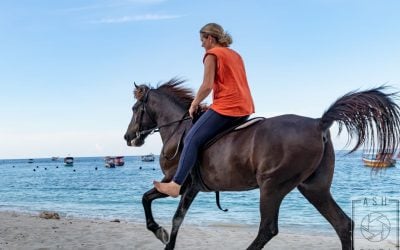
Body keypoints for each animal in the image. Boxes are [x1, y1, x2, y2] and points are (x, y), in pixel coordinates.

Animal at [123, 78, 398, 250]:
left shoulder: (179, 184)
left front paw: (160, 233)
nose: (128, 137)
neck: (178, 130)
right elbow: (162, 210)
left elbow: (163, 210)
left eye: (135, 108)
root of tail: (318, 122)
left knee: (268, 229)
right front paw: (161, 234)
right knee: (343, 225)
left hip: (272, 186)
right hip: (314, 189)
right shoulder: (189, 188)